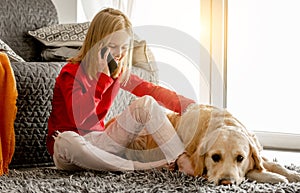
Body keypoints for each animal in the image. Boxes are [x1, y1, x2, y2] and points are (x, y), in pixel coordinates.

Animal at [122, 104, 300, 185]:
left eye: (240, 158)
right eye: (215, 157)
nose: (226, 183)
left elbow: (274, 164)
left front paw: (292, 174)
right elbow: (250, 172)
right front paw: (276, 178)